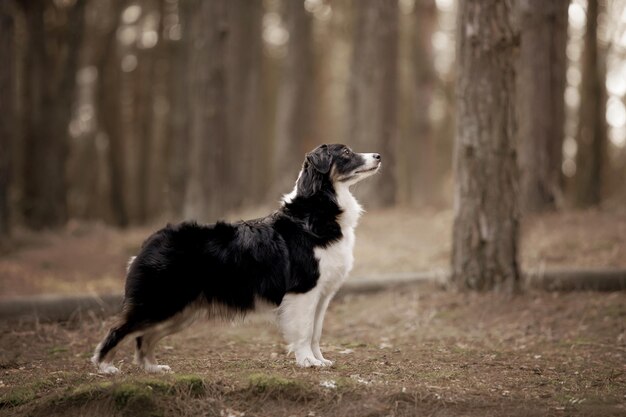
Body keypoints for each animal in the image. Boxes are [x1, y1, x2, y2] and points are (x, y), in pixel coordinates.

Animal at [90, 144, 378, 374]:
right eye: (346, 153)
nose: (378, 155)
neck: (315, 213)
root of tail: (149, 241)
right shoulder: (303, 291)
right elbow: (305, 330)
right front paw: (307, 361)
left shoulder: (322, 294)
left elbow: (316, 331)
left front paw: (320, 360)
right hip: (159, 302)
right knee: (119, 330)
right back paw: (105, 367)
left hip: (179, 311)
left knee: (145, 338)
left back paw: (153, 368)